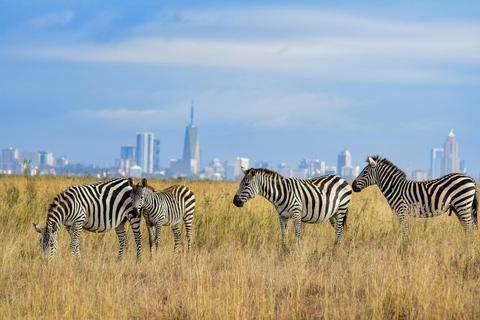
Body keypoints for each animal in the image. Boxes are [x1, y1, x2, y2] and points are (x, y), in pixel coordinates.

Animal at [350, 156, 478, 236]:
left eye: (364, 172)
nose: (353, 186)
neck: (394, 187)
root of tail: (470, 178)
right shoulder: (398, 213)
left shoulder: (401, 210)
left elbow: (404, 230)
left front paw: (404, 246)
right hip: (458, 207)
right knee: (467, 226)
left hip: (462, 204)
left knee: (469, 226)